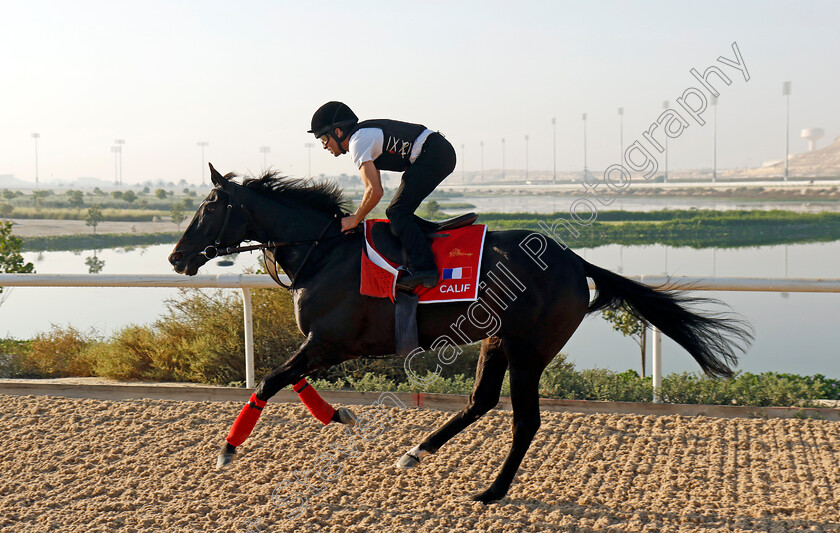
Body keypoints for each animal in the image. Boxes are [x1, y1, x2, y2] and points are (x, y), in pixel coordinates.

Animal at [167, 164, 752, 500]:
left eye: (208, 207)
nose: (176, 257)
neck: (323, 252)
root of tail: (574, 259)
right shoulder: (323, 346)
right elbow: (288, 379)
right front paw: (342, 416)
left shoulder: (330, 343)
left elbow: (270, 380)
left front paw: (226, 451)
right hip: (497, 340)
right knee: (481, 401)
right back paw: (415, 452)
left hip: (530, 348)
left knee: (525, 419)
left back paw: (492, 491)